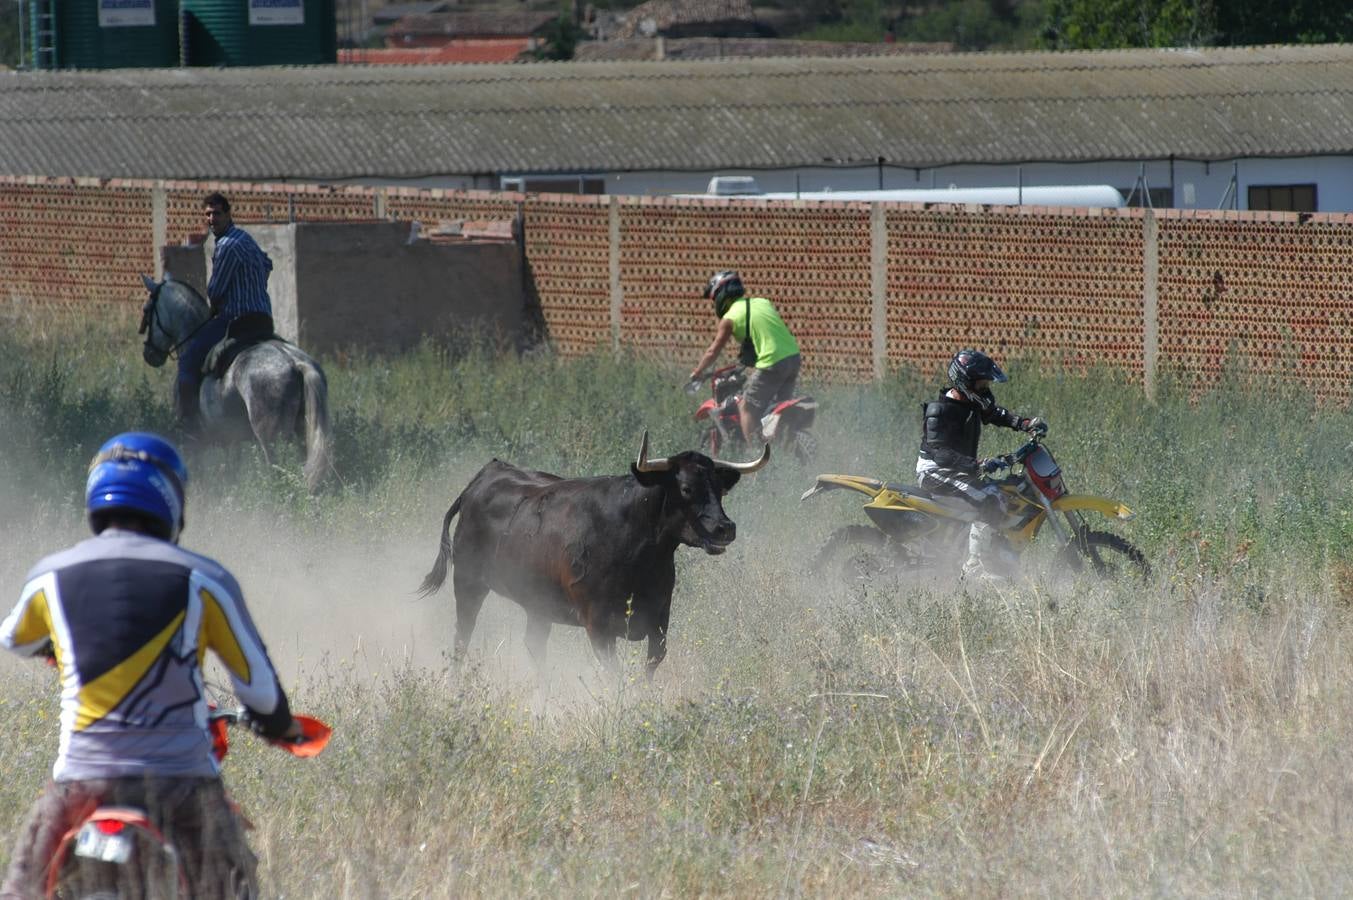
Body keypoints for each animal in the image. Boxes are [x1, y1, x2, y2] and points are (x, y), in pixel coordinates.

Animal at [138, 272, 334, 492]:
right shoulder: (231, 437)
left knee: (276, 467)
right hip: (302, 431)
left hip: (271, 436)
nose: (149, 354)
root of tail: (294, 360)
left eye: (146, 309)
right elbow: (233, 464)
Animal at [416, 433, 768, 673]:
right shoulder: (597, 625)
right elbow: (614, 675)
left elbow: (650, 666)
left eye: (719, 489)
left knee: (534, 646)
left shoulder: (659, 621)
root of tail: (485, 475)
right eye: (686, 488)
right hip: (468, 583)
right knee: (462, 636)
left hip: (537, 604)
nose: (725, 527)